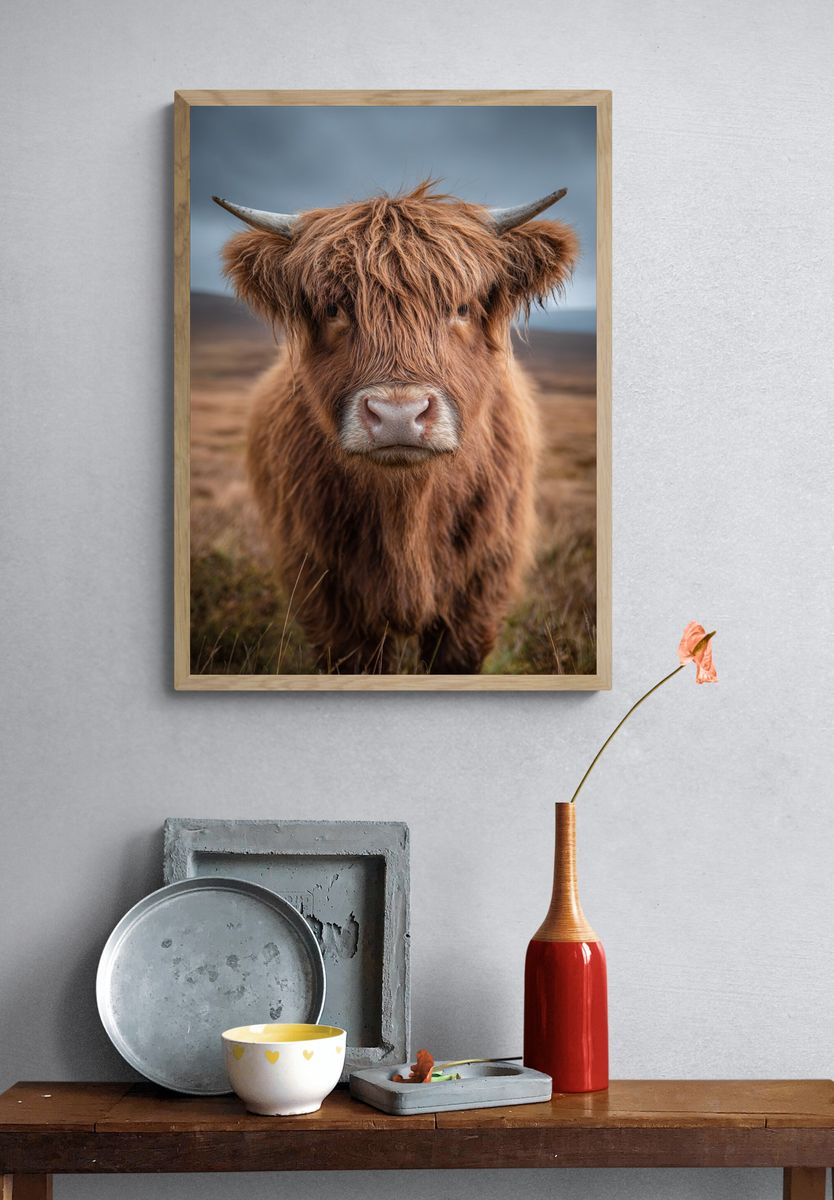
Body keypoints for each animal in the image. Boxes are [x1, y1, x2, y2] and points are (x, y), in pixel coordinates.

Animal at [214, 181, 578, 674]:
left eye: (461, 307)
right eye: (334, 307)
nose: (398, 415)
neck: (408, 508)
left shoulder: (482, 588)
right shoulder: (324, 593)